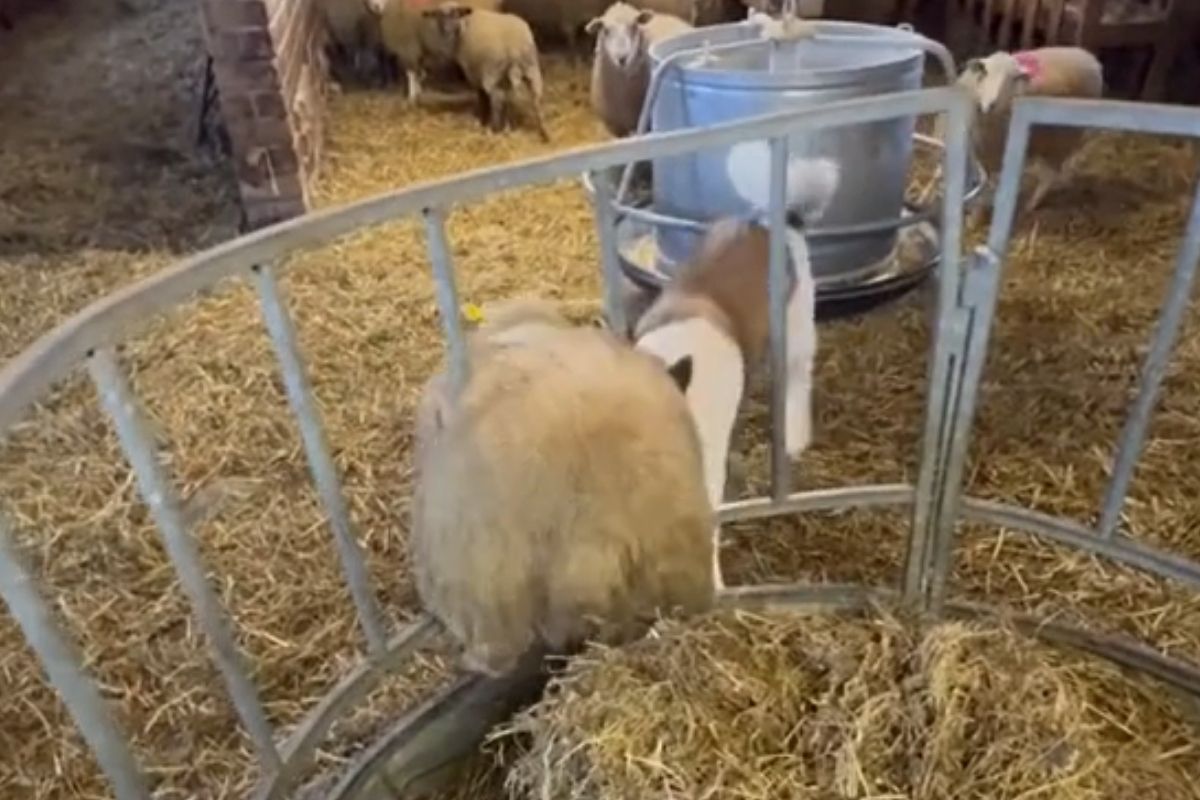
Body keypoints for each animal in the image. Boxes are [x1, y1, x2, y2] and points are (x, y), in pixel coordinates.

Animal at [421, 3, 551, 141]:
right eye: (437, 15)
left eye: (455, 14)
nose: (445, 30)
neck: (464, 25)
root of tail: (514, 47)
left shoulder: (474, 73)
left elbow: (482, 97)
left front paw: (482, 120)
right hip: (531, 69)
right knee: (535, 99)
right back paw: (544, 132)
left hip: (493, 73)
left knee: (497, 100)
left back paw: (492, 129)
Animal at [952, 46, 1104, 217]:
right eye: (986, 72)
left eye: (1013, 79)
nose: (991, 104)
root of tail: (1088, 56)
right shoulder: (978, 146)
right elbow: (984, 176)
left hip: (1062, 137)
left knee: (1049, 175)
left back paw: (1032, 204)